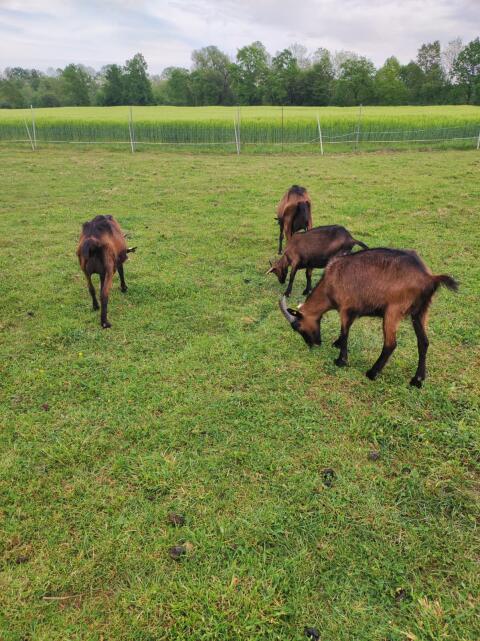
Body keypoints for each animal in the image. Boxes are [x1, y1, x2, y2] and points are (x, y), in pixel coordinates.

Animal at [279, 248, 458, 387]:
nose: (313, 344)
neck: (330, 283)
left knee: (390, 344)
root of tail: (429, 278)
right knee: (423, 342)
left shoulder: (346, 308)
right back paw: (417, 380)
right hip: (420, 312)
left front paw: (341, 360)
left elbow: (345, 332)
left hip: (393, 311)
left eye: (298, 327)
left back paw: (372, 373)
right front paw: (337, 344)